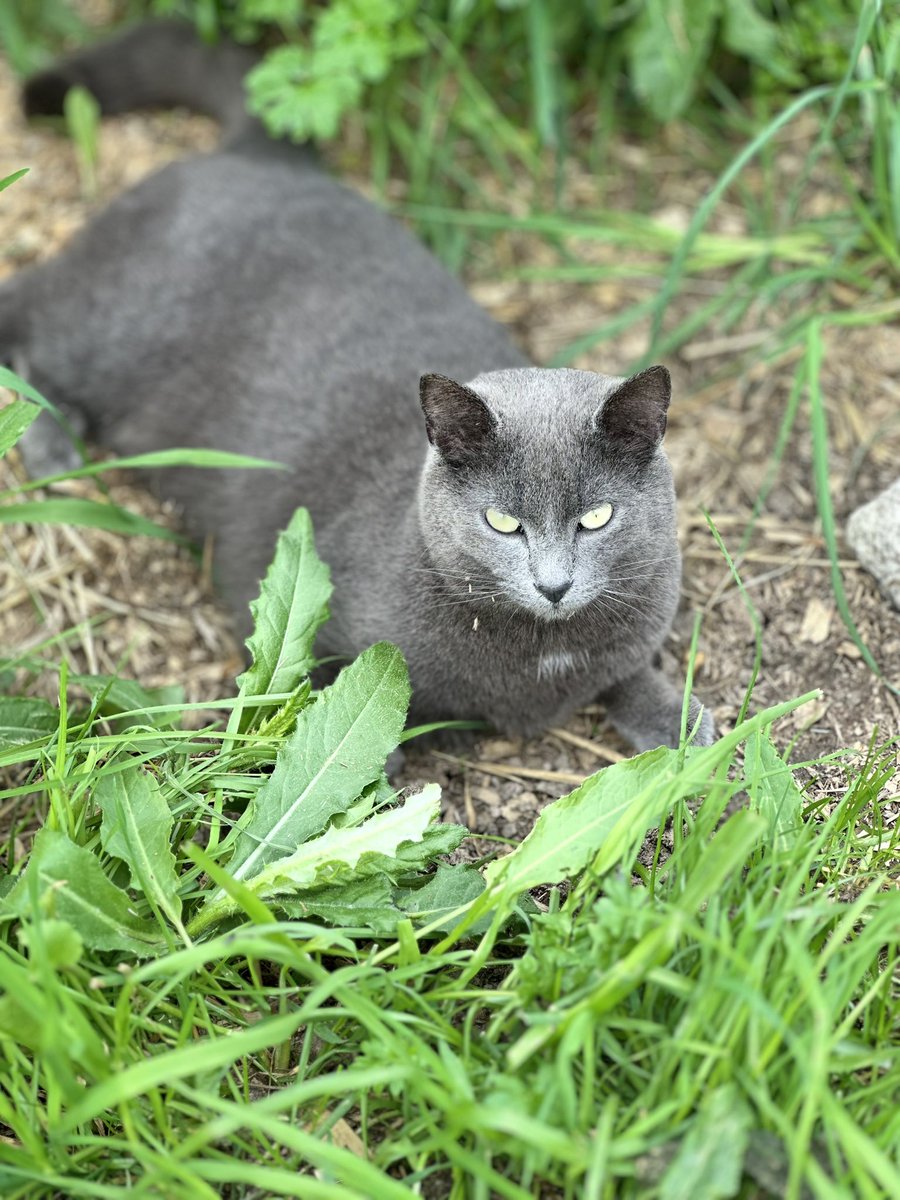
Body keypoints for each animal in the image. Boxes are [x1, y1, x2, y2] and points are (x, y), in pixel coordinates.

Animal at [3, 21, 715, 748]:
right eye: (503, 523)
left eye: (597, 518)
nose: (553, 586)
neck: (543, 657)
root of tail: (261, 160)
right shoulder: (326, 643)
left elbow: (633, 674)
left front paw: (685, 723)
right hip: (115, 324)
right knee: (28, 309)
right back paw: (55, 445)